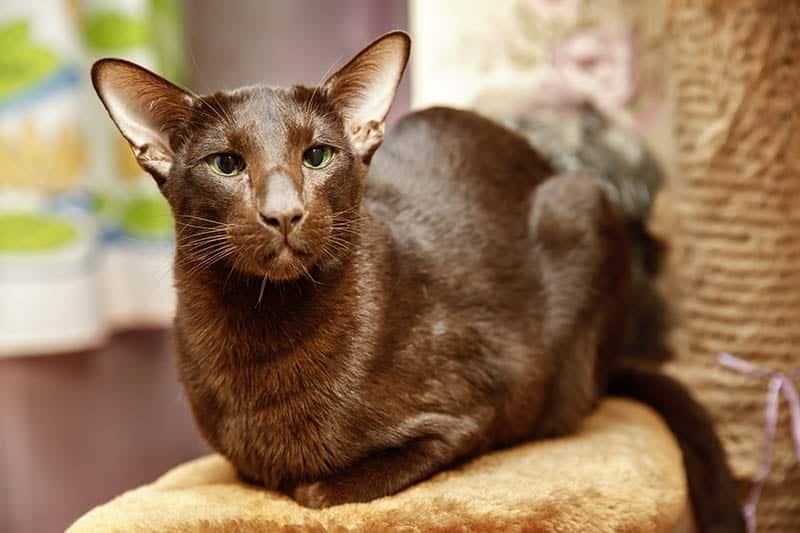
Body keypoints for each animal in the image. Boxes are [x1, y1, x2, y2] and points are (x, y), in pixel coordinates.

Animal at [92, 32, 744, 528]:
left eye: (317, 156)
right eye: (226, 164)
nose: (283, 213)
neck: (258, 328)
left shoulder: (477, 405)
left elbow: (317, 490)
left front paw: (311, 484)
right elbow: (251, 469)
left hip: (578, 207)